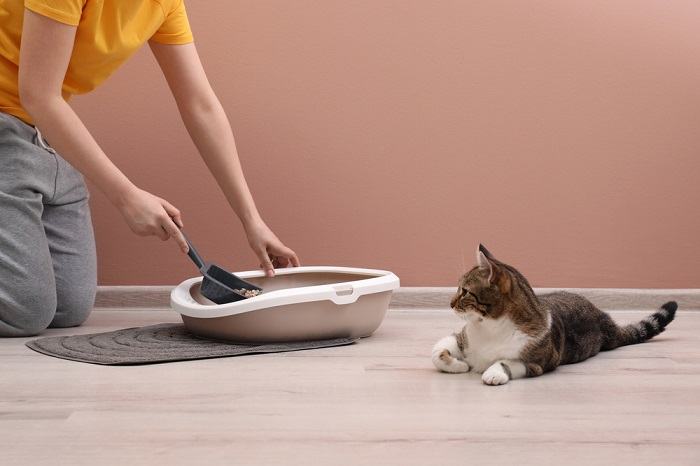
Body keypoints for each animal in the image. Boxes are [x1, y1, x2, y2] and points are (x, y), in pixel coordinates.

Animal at [432, 244, 680, 386]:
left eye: (465, 291)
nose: (450, 303)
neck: (489, 327)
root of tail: (605, 320)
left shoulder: (539, 362)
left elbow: (507, 362)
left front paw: (493, 372)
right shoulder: (462, 337)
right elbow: (436, 352)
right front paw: (459, 365)